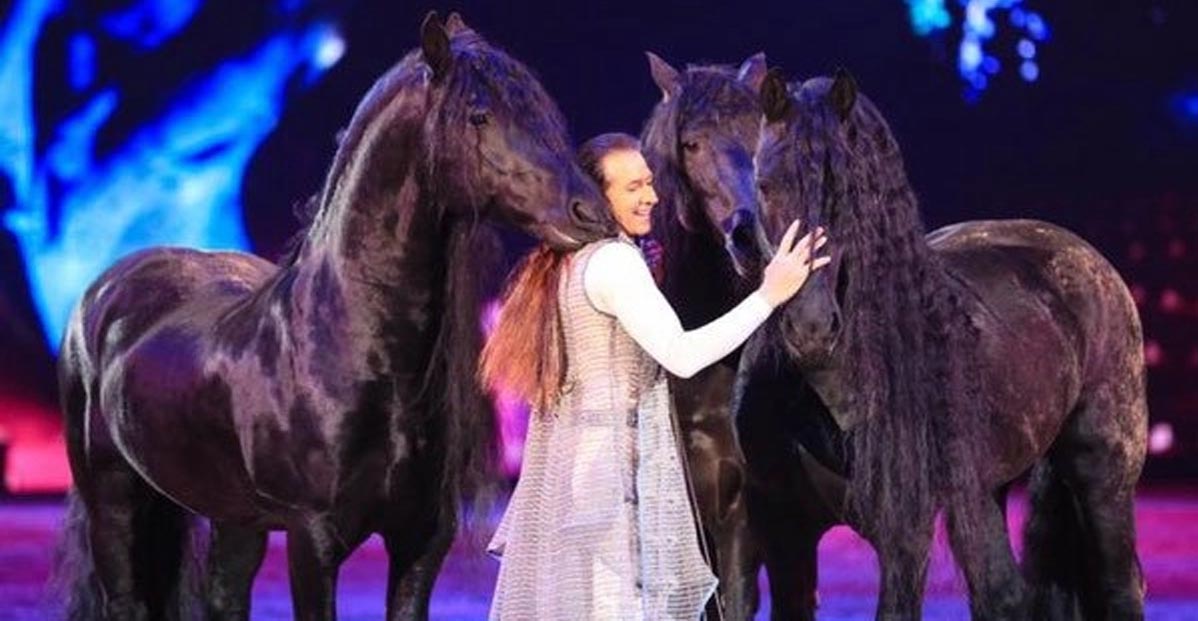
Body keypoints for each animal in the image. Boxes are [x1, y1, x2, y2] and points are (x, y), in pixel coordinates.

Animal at [53, 14, 608, 621]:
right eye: (479, 115)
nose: (592, 213)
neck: (351, 347)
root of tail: (104, 291)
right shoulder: (312, 538)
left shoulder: (421, 541)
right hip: (112, 498)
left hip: (233, 519)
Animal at [733, 69, 1145, 621]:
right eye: (767, 185)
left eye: (849, 190)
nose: (811, 328)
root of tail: (1080, 252)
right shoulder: (780, 526)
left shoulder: (903, 536)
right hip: (985, 492)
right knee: (1005, 595)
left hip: (1104, 472)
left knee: (1118, 584)